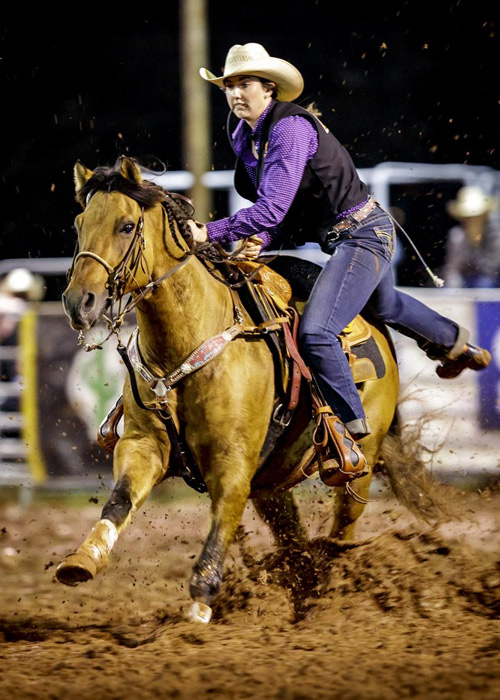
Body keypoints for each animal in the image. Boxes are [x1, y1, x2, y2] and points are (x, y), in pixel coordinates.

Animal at [56, 157, 404, 624]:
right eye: (79, 224)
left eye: (126, 226)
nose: (80, 302)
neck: (185, 344)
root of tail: (378, 331)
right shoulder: (142, 445)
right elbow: (120, 500)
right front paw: (82, 559)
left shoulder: (232, 462)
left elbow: (219, 529)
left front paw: (198, 613)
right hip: (272, 484)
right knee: (295, 543)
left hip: (360, 467)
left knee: (341, 534)